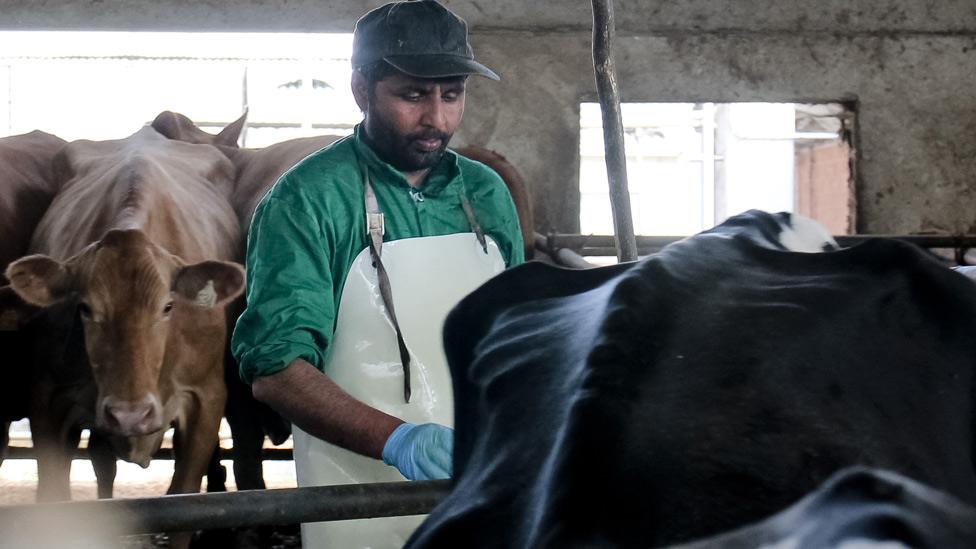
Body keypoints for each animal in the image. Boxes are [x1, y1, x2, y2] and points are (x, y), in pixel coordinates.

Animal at [4, 127, 244, 548]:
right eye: (84, 307)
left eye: (168, 306)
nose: (129, 414)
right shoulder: (46, 397)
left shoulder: (207, 398)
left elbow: (185, 504)